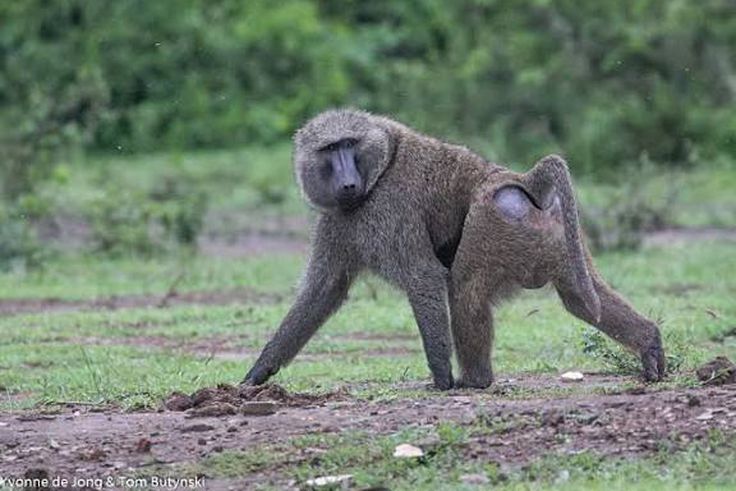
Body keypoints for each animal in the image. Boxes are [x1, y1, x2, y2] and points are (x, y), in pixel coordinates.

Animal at [449, 155, 666, 388]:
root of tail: (525, 180)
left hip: (490, 230)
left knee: (467, 295)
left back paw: (475, 380)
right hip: (561, 234)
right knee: (582, 298)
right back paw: (650, 344)